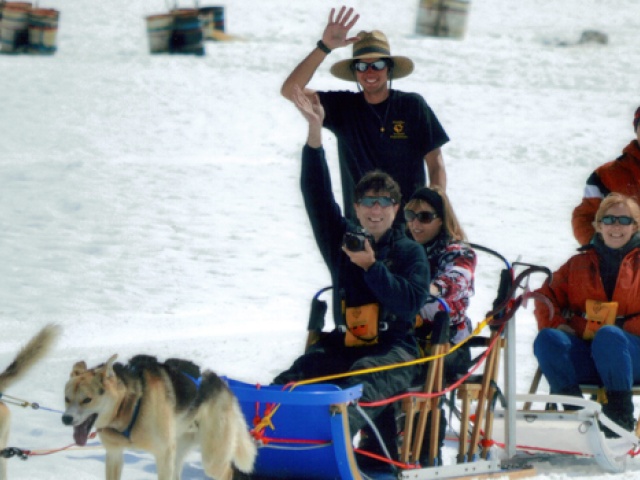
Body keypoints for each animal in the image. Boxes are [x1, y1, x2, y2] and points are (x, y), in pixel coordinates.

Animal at [62, 352, 256, 480]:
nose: (65, 419)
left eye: (87, 399)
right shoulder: (114, 454)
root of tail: (224, 385)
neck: (130, 406)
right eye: (67, 398)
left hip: (212, 460)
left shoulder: (163, 454)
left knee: (227, 472)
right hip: (178, 451)